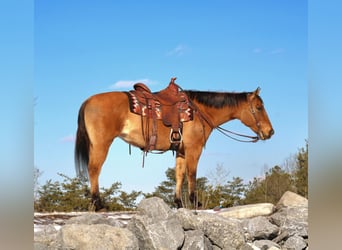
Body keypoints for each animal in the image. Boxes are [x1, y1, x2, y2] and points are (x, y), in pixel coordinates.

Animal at [75, 77, 276, 210]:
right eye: (259, 107)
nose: (270, 132)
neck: (199, 111)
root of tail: (88, 101)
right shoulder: (194, 149)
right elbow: (192, 174)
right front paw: (195, 202)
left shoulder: (181, 150)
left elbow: (179, 174)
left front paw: (179, 203)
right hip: (101, 144)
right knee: (94, 169)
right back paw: (98, 204)